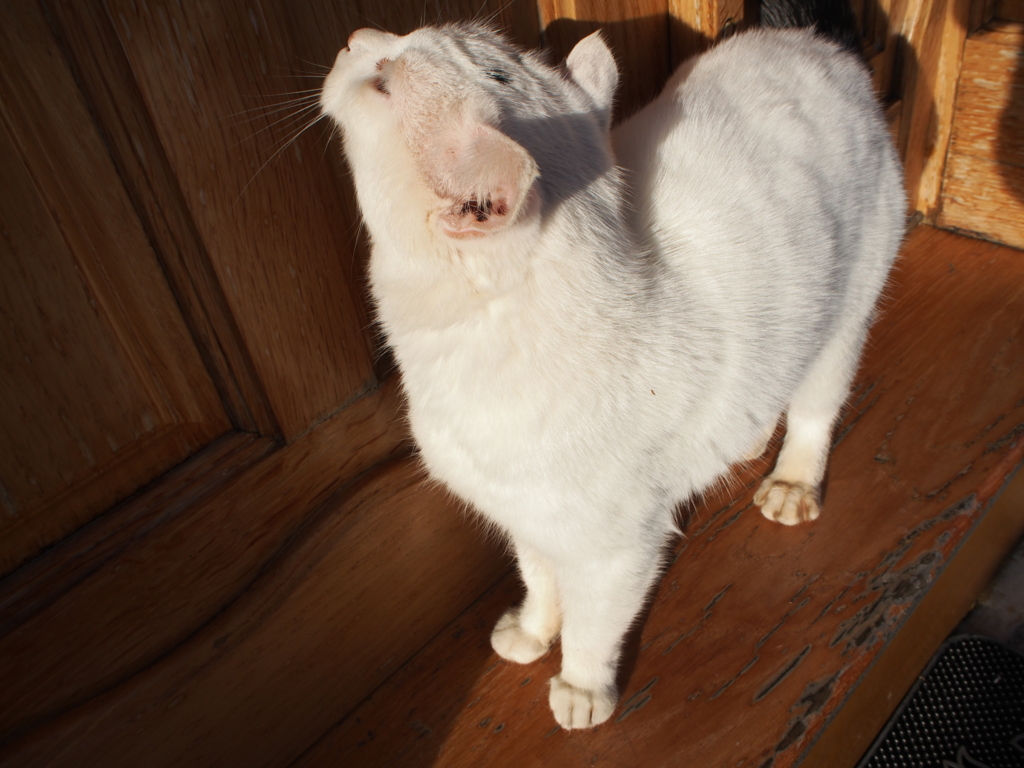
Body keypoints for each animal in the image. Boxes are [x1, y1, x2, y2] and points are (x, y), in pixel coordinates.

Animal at [319, 20, 905, 733]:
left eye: (380, 79)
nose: (356, 35)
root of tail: (818, 45)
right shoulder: (527, 519)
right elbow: (539, 579)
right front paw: (534, 631)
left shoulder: (617, 554)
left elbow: (594, 627)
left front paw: (580, 685)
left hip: (844, 317)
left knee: (815, 409)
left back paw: (791, 481)